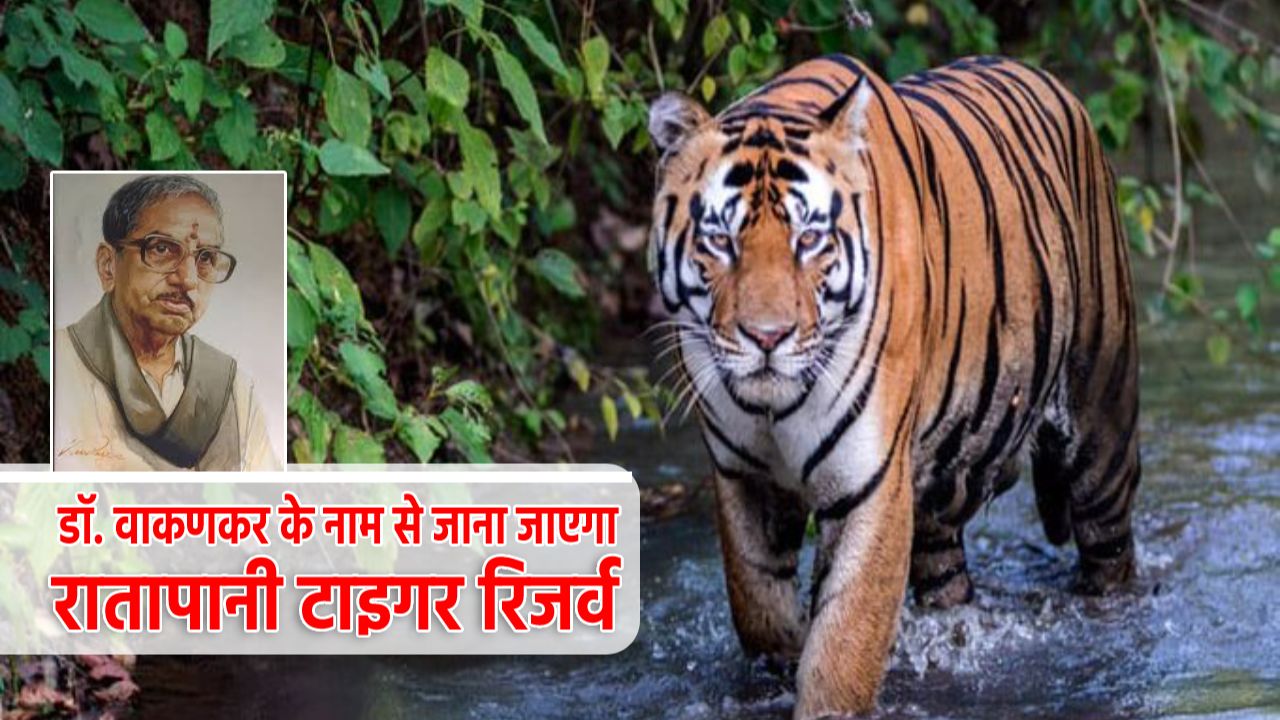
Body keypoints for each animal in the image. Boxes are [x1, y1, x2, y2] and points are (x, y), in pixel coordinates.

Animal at [647, 54, 1140, 718]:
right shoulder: (742, 476)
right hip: (942, 487)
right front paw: (782, 660)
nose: (767, 337)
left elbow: (843, 644)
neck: (773, 406)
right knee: (945, 575)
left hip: (1100, 427)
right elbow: (760, 607)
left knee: (1109, 552)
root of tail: (1051, 80)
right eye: (720, 242)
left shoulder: (870, 482)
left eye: (809, 240)